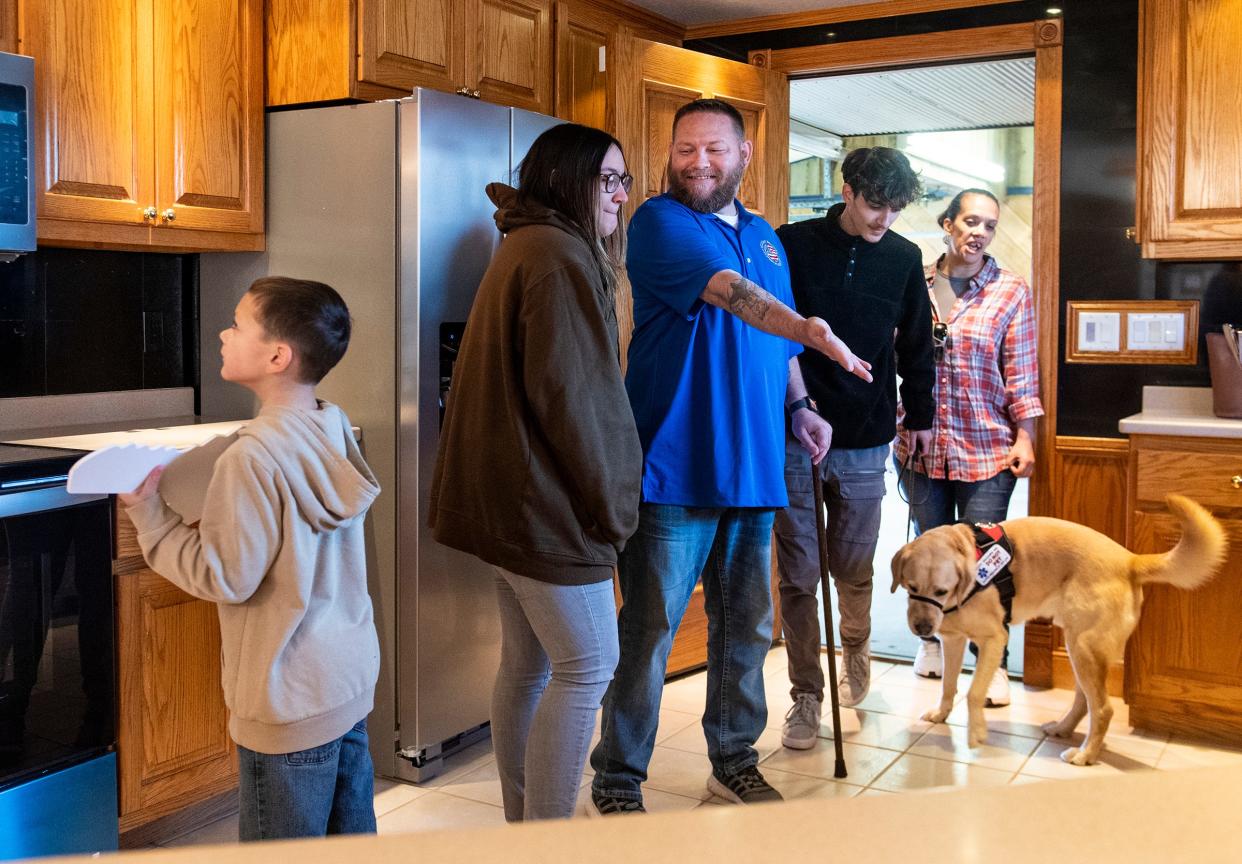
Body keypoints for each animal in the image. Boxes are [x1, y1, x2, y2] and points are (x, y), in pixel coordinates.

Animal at [894, 496, 1222, 764]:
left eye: (941, 590)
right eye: (912, 587)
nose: (922, 627)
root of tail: (1130, 559)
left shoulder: (994, 640)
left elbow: (974, 692)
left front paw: (976, 733)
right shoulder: (953, 640)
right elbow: (948, 684)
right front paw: (941, 714)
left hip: (1084, 648)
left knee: (1102, 708)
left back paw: (1086, 754)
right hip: (1079, 647)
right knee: (1085, 701)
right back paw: (1064, 729)